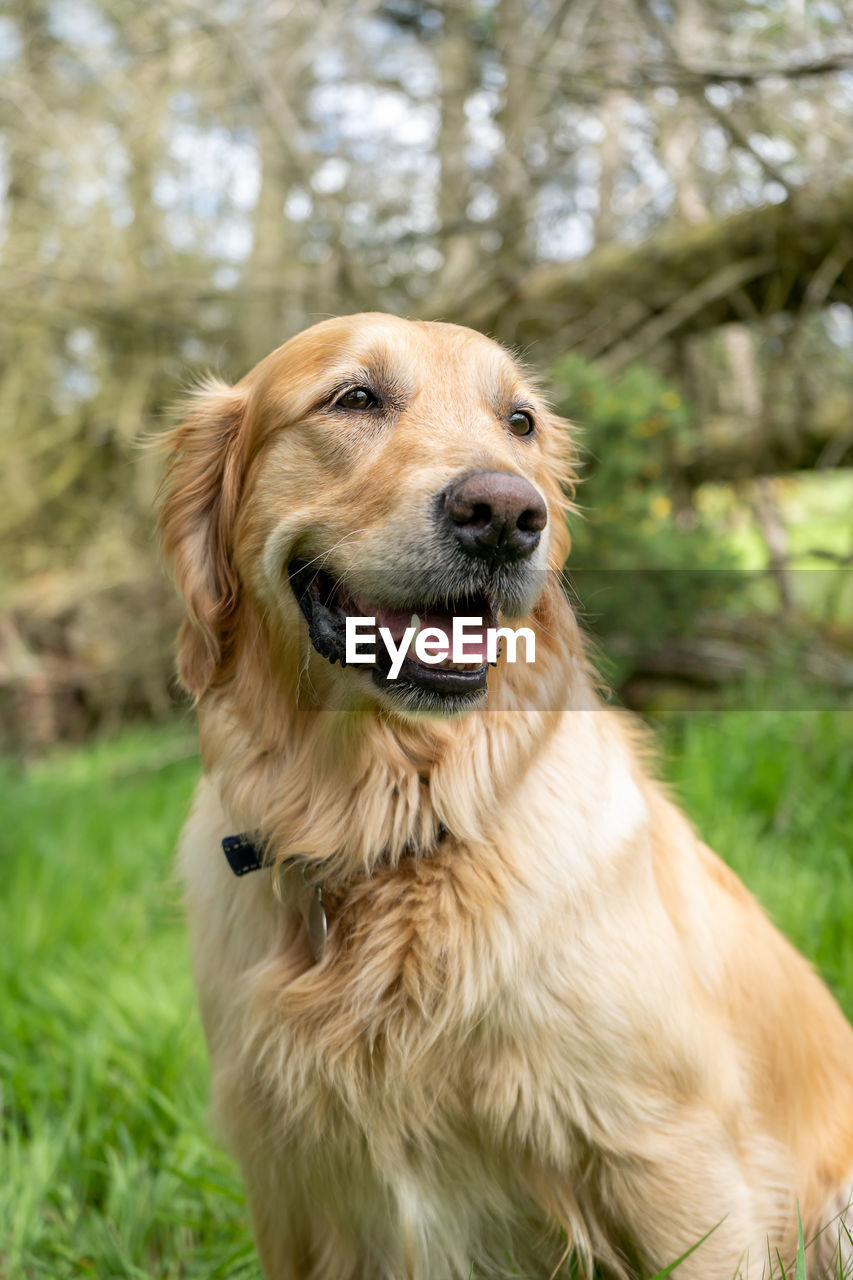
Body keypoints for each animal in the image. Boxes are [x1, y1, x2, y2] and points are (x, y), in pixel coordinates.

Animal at [159, 312, 850, 1280]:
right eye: (354, 398)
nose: (506, 515)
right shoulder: (288, 1187)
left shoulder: (674, 1156)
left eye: (518, 422)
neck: (391, 824)